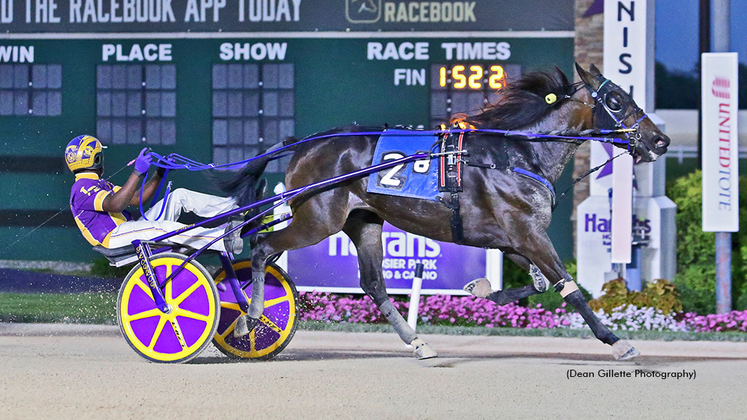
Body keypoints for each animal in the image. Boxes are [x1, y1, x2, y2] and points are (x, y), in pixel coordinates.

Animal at [224, 65, 672, 360]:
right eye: (616, 100)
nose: (660, 140)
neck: (518, 155)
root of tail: (305, 143)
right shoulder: (527, 232)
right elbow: (569, 287)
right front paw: (616, 341)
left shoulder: (512, 239)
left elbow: (542, 283)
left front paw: (482, 288)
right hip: (318, 219)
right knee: (262, 246)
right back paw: (249, 317)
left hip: (363, 221)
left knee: (373, 283)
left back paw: (417, 341)